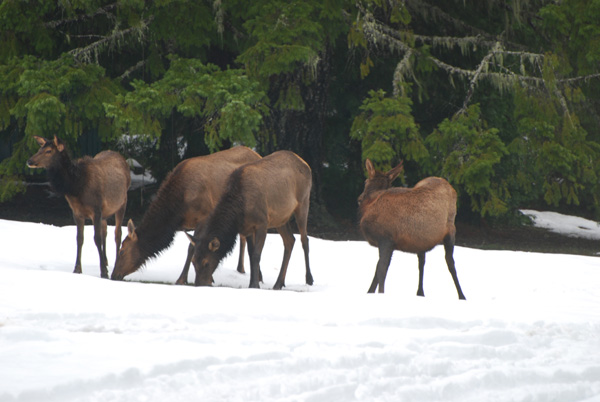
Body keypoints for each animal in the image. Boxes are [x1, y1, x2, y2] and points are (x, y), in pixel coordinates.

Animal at [26, 137, 130, 278]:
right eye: (39, 149)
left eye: (48, 151)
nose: (29, 161)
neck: (76, 187)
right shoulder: (77, 213)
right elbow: (79, 239)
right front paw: (77, 269)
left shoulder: (96, 210)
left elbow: (96, 238)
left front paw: (103, 272)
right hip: (106, 211)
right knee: (105, 231)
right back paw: (106, 261)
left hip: (122, 203)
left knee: (117, 234)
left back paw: (114, 263)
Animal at [111, 147, 262, 282]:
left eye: (122, 251)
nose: (113, 275)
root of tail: (258, 155)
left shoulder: (203, 216)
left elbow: (192, 248)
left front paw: (182, 279)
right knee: (244, 238)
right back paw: (244, 270)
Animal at [189, 150, 314, 288]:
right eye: (193, 261)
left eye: (206, 263)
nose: (199, 284)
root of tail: (305, 164)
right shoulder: (247, 228)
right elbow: (250, 253)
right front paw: (253, 283)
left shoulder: (262, 223)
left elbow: (256, 255)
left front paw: (254, 284)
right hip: (281, 218)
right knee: (290, 240)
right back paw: (279, 283)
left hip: (303, 202)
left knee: (304, 240)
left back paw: (309, 279)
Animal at [358, 159, 466, 300]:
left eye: (365, 181)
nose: (359, 199)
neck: (371, 202)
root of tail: (450, 186)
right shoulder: (390, 244)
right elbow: (378, 270)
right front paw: (369, 292)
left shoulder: (386, 240)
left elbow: (381, 271)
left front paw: (381, 293)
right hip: (421, 241)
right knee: (422, 262)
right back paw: (420, 292)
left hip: (451, 230)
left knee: (450, 263)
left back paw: (462, 295)